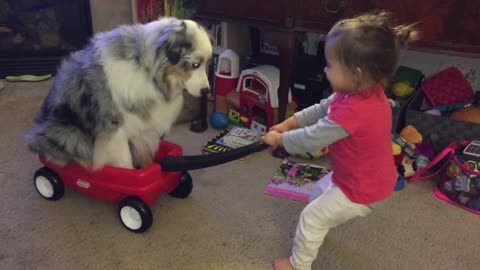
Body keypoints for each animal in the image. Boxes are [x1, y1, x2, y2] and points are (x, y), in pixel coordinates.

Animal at [25, 16, 212, 170]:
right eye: (195, 64)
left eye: (207, 63)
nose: (207, 91)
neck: (145, 69)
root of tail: (34, 136)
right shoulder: (115, 130)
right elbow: (124, 161)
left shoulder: (142, 125)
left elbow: (143, 151)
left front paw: (149, 169)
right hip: (70, 134)